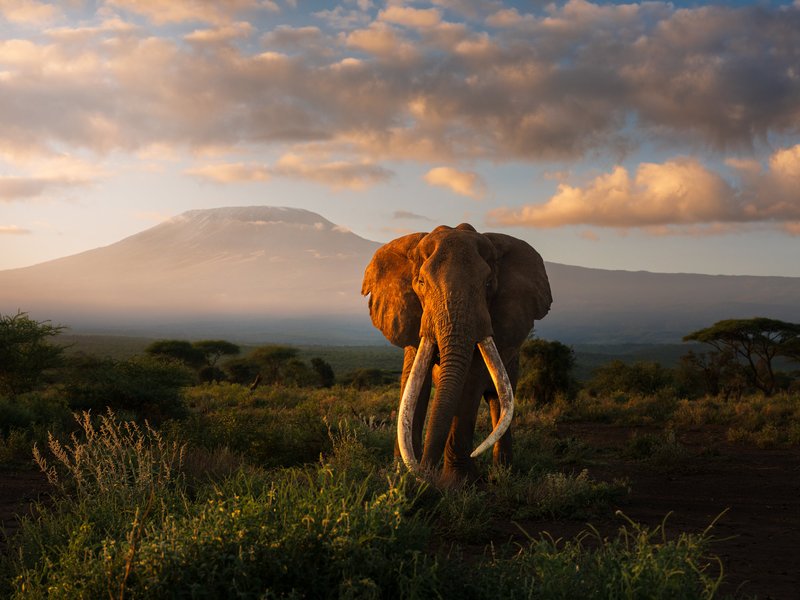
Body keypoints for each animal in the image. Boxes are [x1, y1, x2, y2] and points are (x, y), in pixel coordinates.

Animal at [361, 223, 552, 482]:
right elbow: (414, 384)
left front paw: (457, 483)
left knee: (498, 401)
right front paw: (401, 476)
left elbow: (470, 382)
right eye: (421, 282)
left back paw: (504, 473)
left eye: (488, 284)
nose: (426, 473)